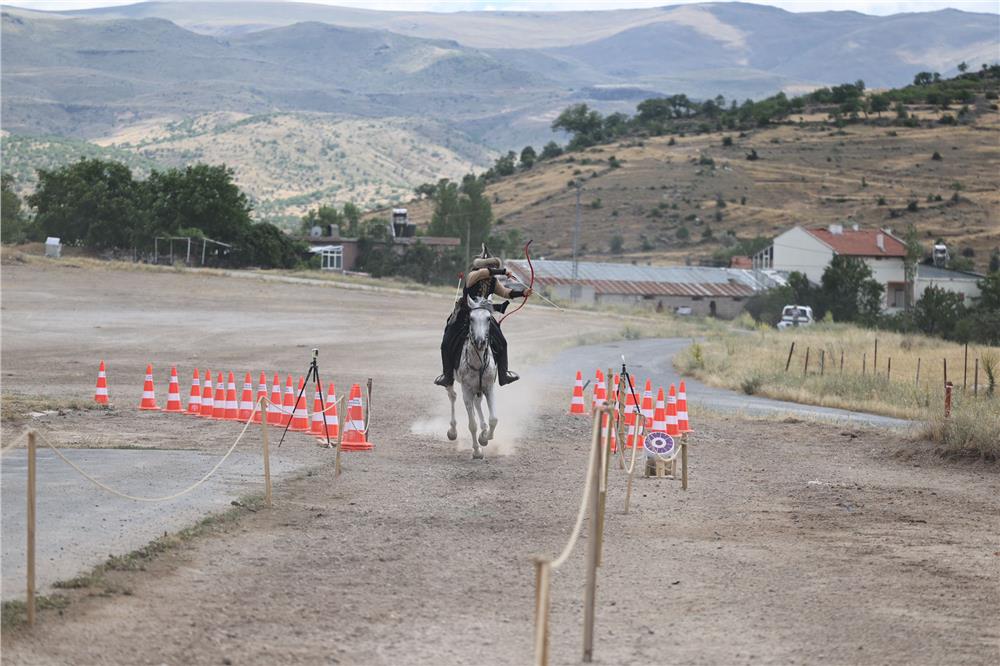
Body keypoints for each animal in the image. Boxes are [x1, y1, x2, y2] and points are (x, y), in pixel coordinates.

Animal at [448, 294, 498, 456]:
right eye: (471, 318)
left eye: (488, 318)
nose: (480, 341)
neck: (478, 363)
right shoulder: (467, 391)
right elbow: (472, 425)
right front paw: (477, 451)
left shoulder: (489, 387)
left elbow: (494, 419)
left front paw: (485, 437)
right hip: (450, 380)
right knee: (452, 396)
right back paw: (452, 431)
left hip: (479, 389)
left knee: (478, 403)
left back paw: (484, 430)